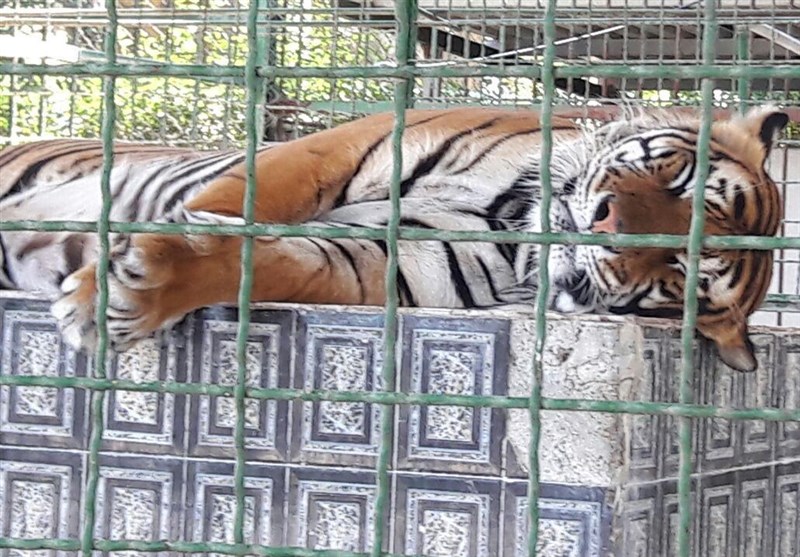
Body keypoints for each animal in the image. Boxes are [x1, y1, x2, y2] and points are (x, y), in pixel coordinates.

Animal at [0, 106, 788, 372]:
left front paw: (138, 289)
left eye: (676, 274)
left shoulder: (400, 257)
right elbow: (232, 201)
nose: (605, 227)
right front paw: (118, 280)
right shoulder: (332, 151)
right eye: (679, 179)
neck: (517, 228)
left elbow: (284, 262)